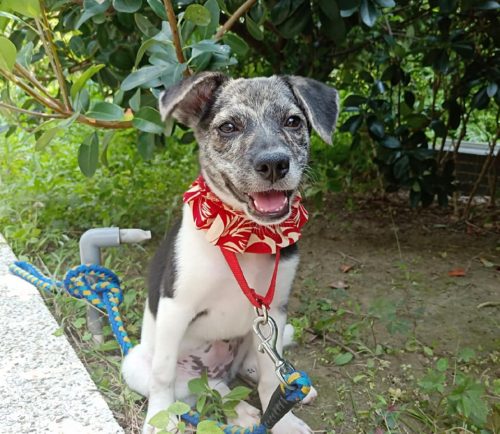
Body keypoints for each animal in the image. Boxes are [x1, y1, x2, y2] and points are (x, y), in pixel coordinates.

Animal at [122, 73, 339, 434]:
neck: (247, 236)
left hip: (256, 336)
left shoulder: (273, 311)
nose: (274, 164)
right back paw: (238, 410)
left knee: (245, 371)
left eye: (293, 121)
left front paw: (283, 421)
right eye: (228, 127)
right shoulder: (175, 307)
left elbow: (270, 378)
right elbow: (162, 376)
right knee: (204, 389)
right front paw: (158, 418)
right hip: (138, 362)